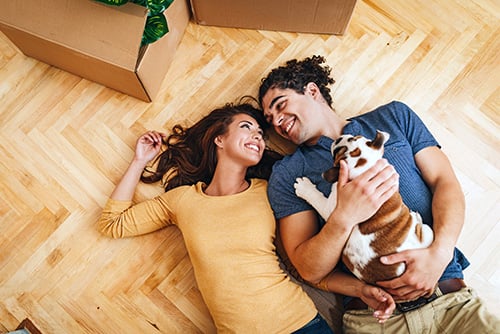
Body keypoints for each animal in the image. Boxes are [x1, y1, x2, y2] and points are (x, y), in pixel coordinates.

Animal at [292, 130, 434, 284]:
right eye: (354, 138)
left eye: (337, 153)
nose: (339, 139)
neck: (365, 171)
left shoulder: (332, 208)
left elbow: (316, 198)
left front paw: (304, 187)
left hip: (428, 231)